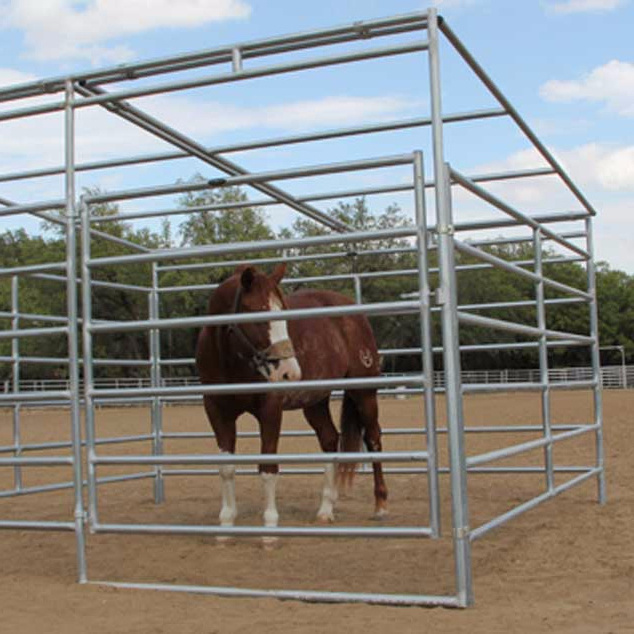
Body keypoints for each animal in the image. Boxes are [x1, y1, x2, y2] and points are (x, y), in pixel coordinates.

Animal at [195, 262, 388, 544]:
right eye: (257, 313)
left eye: (284, 314)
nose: (290, 373)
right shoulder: (217, 413)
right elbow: (226, 468)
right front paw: (226, 526)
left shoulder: (270, 410)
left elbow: (267, 467)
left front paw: (269, 530)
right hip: (315, 402)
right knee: (330, 440)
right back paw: (325, 510)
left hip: (363, 392)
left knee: (373, 438)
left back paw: (381, 505)